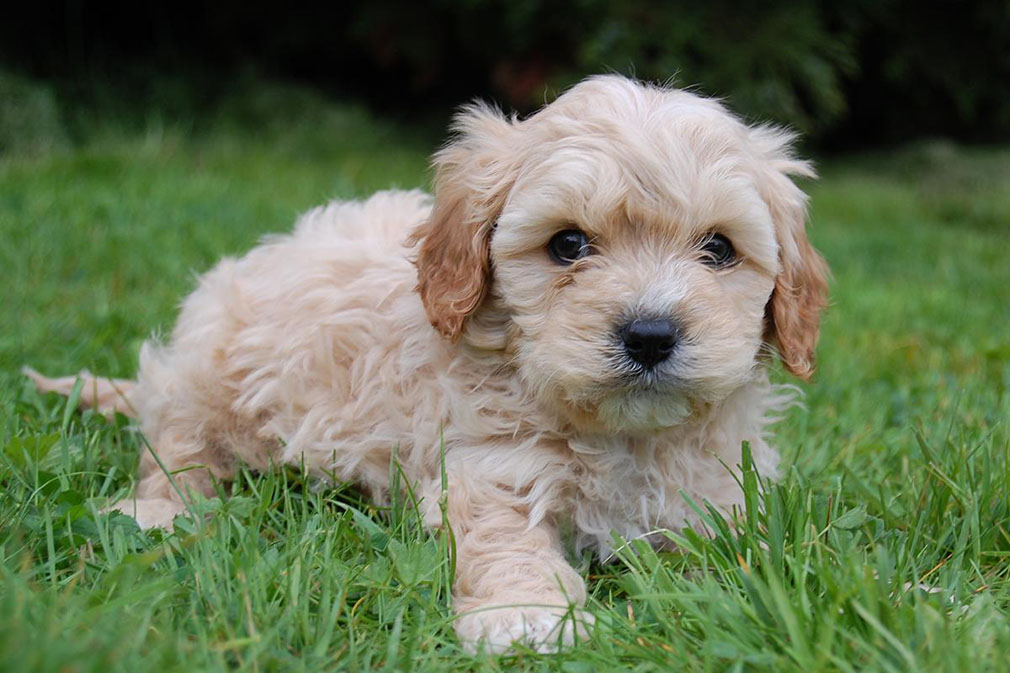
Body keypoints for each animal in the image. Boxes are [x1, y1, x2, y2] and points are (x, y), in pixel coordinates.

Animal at [27, 74, 828, 650]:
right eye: (568, 244)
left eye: (719, 248)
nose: (651, 333)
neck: (622, 435)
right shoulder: (487, 465)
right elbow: (503, 537)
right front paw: (526, 615)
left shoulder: (718, 489)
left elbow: (731, 546)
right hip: (214, 367)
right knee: (177, 448)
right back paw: (153, 512)